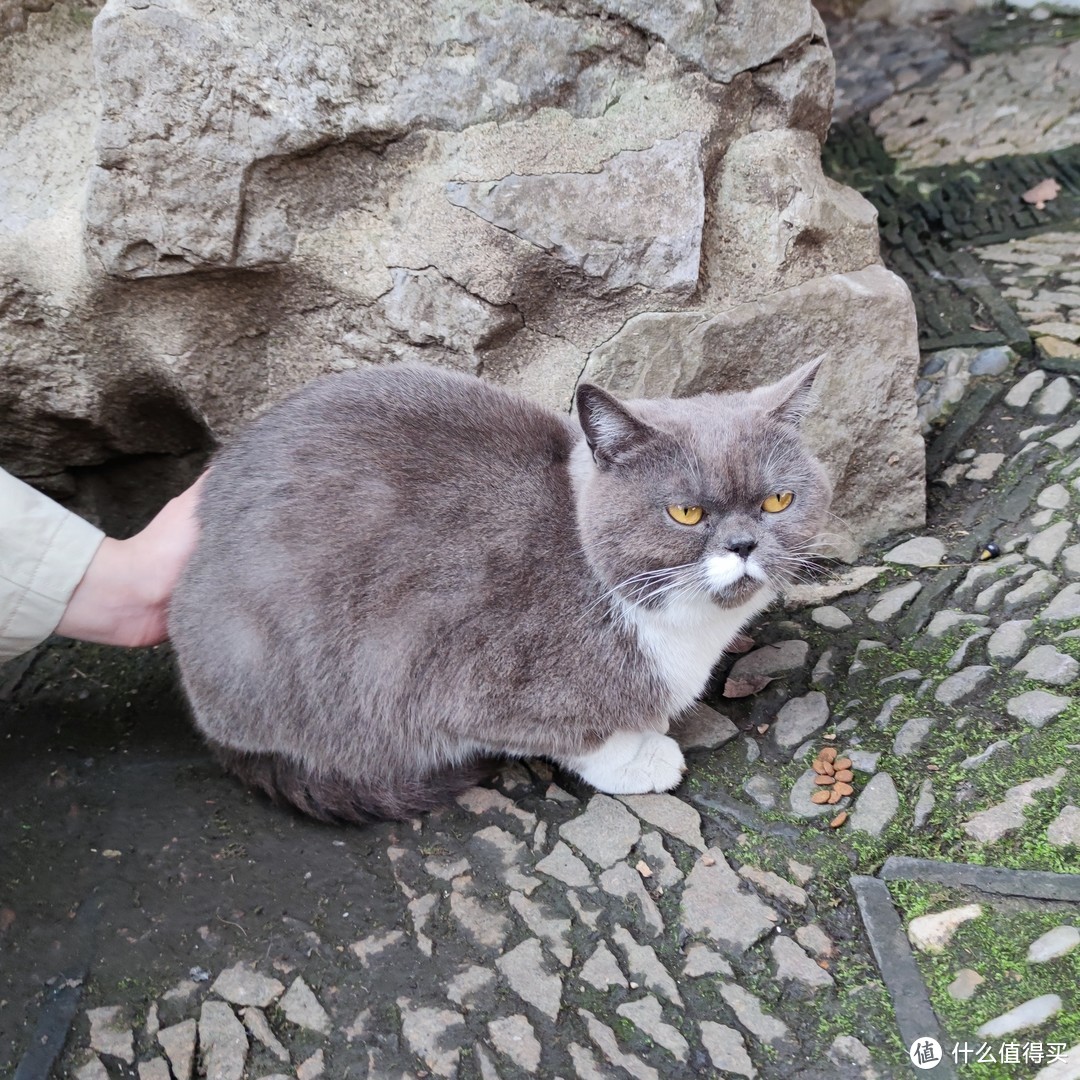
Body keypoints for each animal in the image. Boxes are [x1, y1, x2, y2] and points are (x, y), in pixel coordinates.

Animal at [168, 358, 829, 820]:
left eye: (778, 500)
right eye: (686, 513)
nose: (743, 544)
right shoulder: (457, 679)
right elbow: (577, 735)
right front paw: (639, 756)